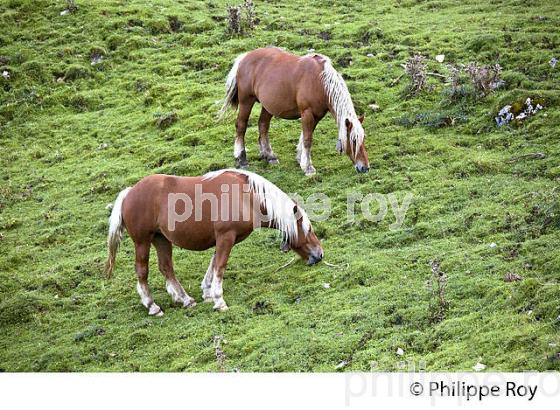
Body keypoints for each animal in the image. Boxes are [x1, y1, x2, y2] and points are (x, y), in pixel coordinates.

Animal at [105, 168, 324, 316]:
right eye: (309, 230)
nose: (320, 254)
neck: (247, 197)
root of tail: (129, 192)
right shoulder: (226, 237)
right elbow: (220, 265)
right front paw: (219, 300)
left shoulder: (224, 239)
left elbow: (213, 263)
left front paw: (207, 291)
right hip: (142, 241)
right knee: (142, 271)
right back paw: (152, 305)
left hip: (161, 239)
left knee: (166, 268)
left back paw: (184, 299)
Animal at [220, 47, 372, 175]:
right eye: (353, 140)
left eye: (363, 139)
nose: (364, 167)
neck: (320, 81)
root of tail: (244, 57)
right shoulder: (307, 113)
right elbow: (307, 139)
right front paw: (308, 167)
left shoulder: (316, 115)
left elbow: (305, 137)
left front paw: (301, 158)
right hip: (246, 101)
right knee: (241, 125)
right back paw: (241, 159)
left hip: (267, 106)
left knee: (263, 125)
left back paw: (269, 156)